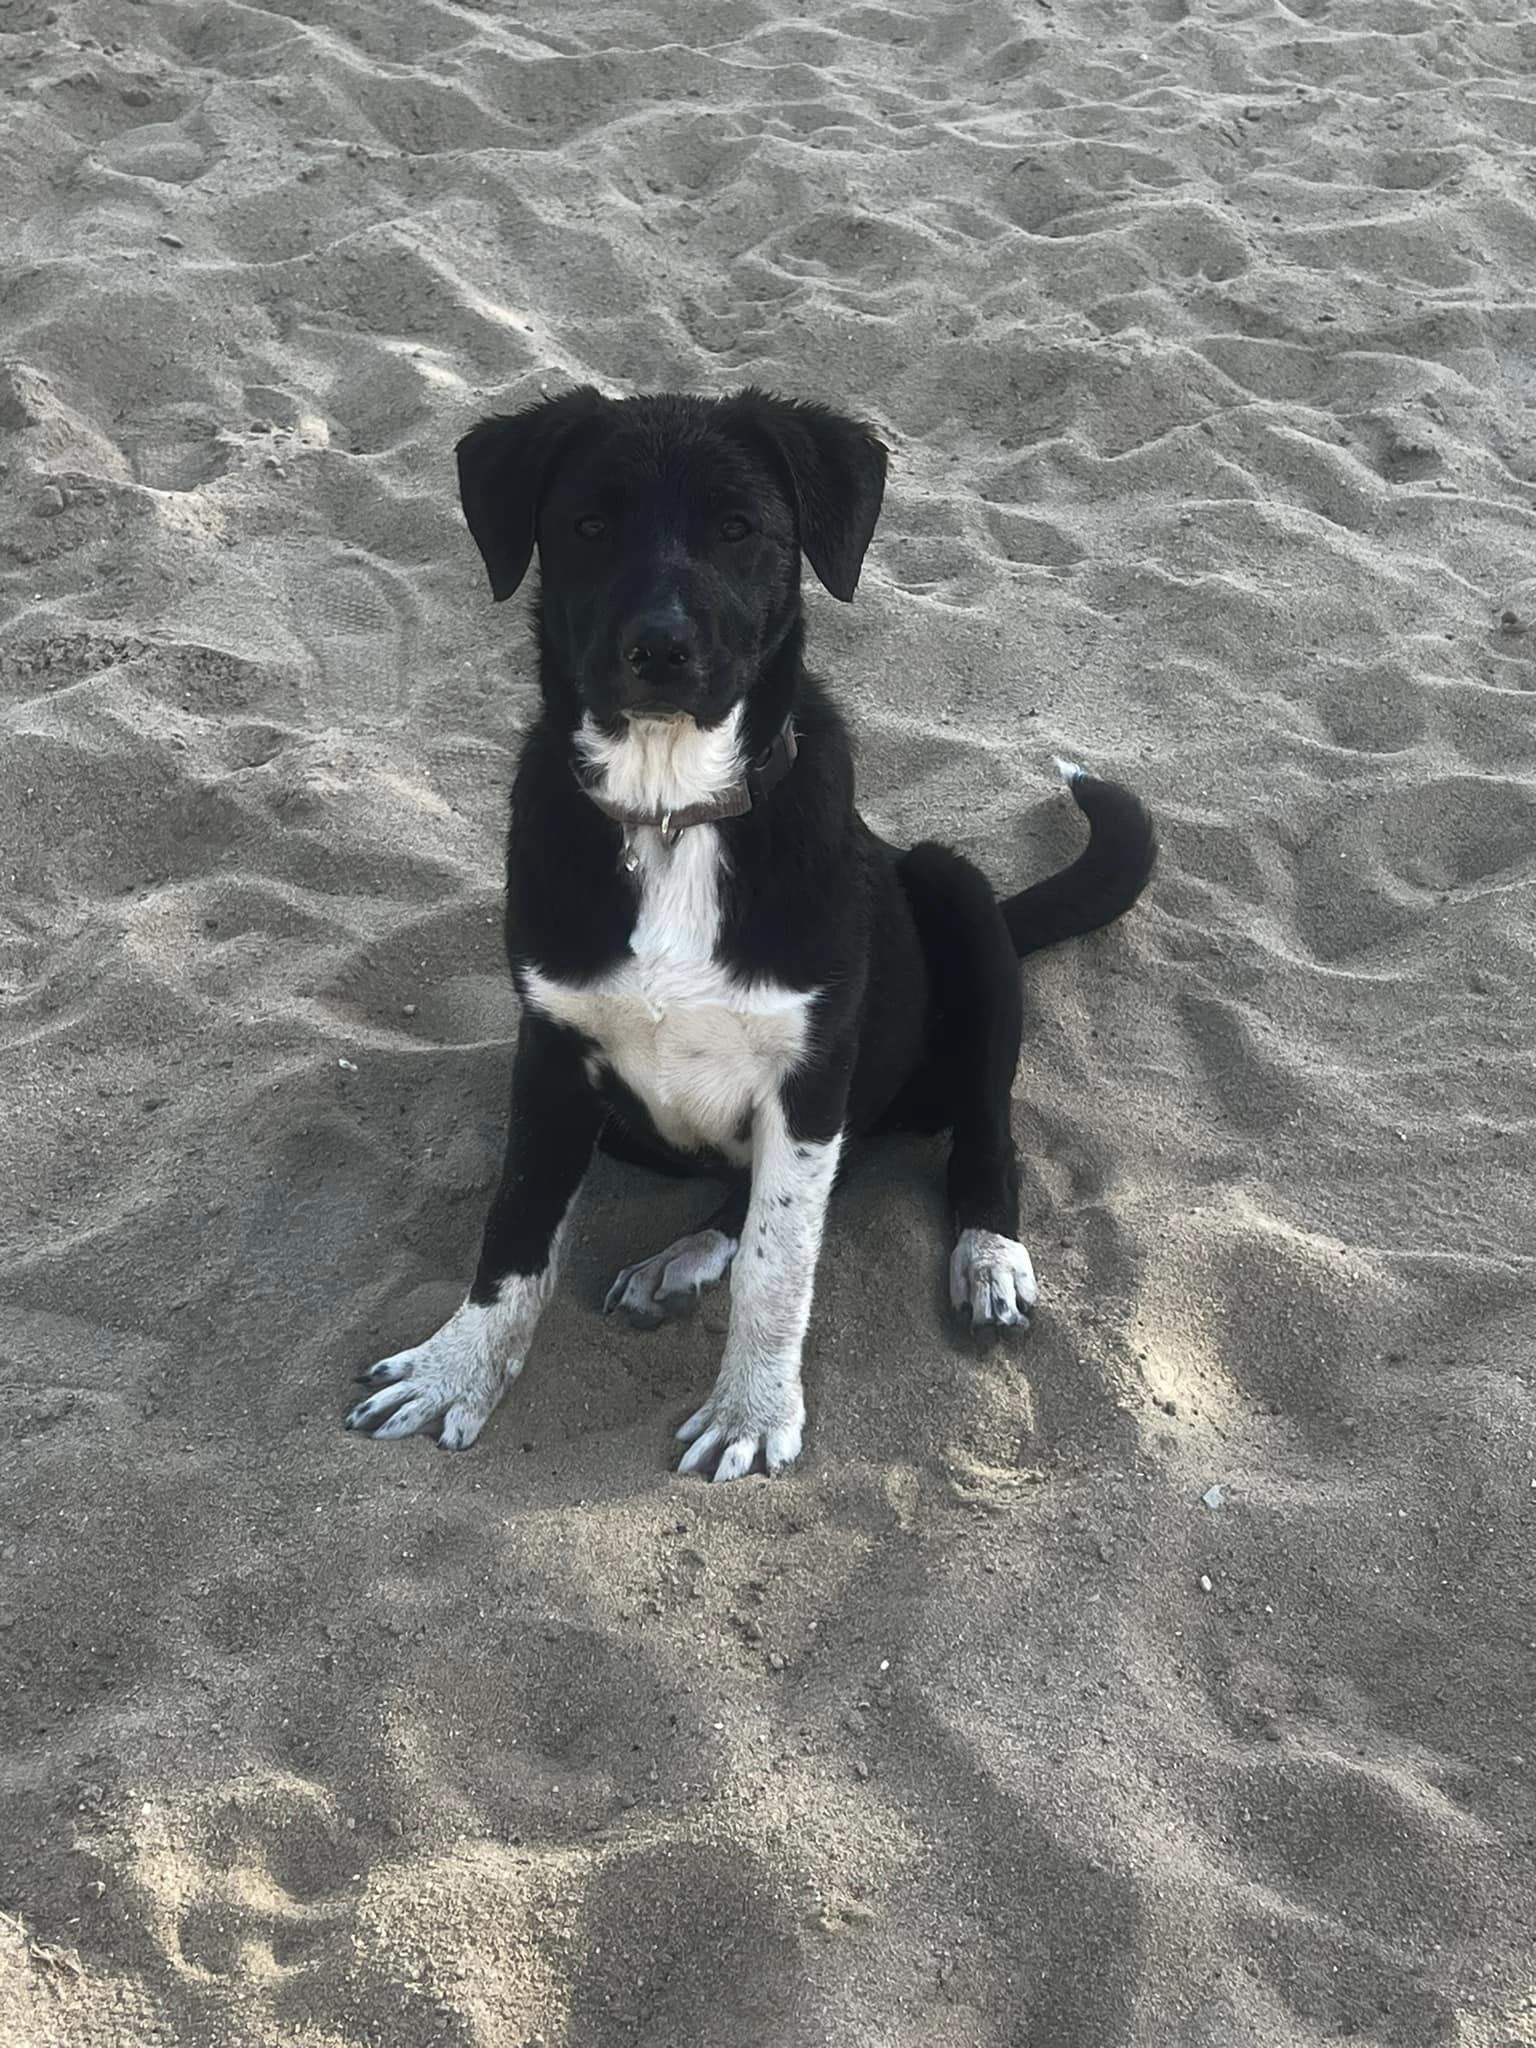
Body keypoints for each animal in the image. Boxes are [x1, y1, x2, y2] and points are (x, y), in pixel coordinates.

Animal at [346, 387, 1155, 1474]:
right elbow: (514, 1229)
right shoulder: (551, 1051)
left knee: (982, 1128)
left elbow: (779, 1266)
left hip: (953, 892)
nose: (660, 650)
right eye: (588, 525)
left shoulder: (809, 1077)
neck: (671, 813)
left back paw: (987, 1255)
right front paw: (455, 1371)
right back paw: (685, 1253)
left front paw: (752, 1411)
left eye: (738, 529)